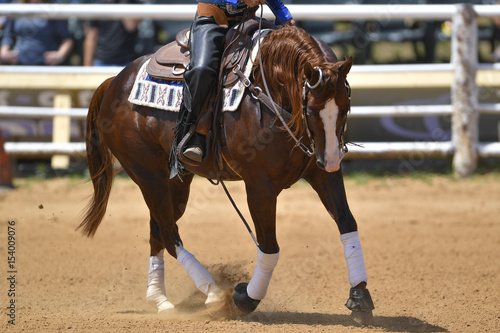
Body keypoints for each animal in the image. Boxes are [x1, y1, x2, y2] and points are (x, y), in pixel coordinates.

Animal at [79, 26, 376, 324]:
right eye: (312, 110)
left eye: (346, 107)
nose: (333, 159)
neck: (271, 94)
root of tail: (114, 83)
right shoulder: (259, 185)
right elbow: (269, 246)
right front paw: (246, 298)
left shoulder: (322, 175)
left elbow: (347, 223)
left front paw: (360, 297)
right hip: (147, 174)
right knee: (169, 233)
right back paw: (211, 291)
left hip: (175, 182)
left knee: (158, 230)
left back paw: (160, 300)